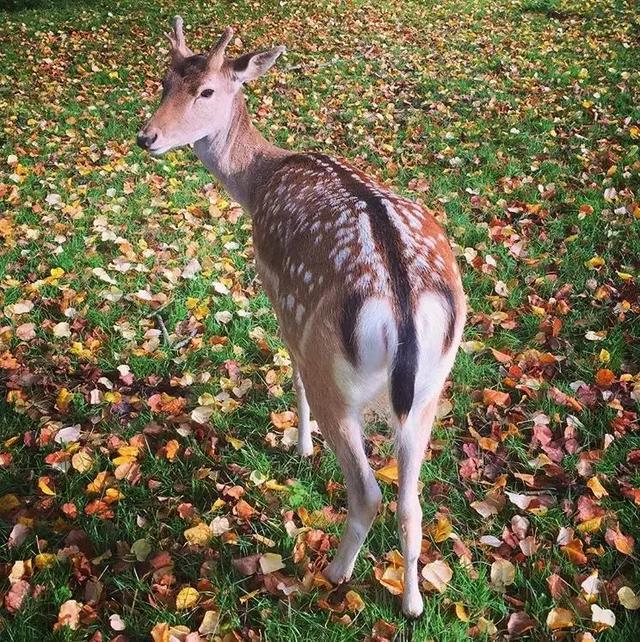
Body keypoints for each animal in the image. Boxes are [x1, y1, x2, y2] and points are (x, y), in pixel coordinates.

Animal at [136, 16, 464, 616]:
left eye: (207, 91)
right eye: (165, 81)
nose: (147, 137)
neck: (258, 180)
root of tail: (402, 307)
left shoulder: (281, 295)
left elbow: (289, 371)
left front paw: (301, 446)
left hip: (335, 371)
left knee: (367, 490)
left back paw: (333, 573)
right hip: (432, 386)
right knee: (411, 500)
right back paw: (412, 603)